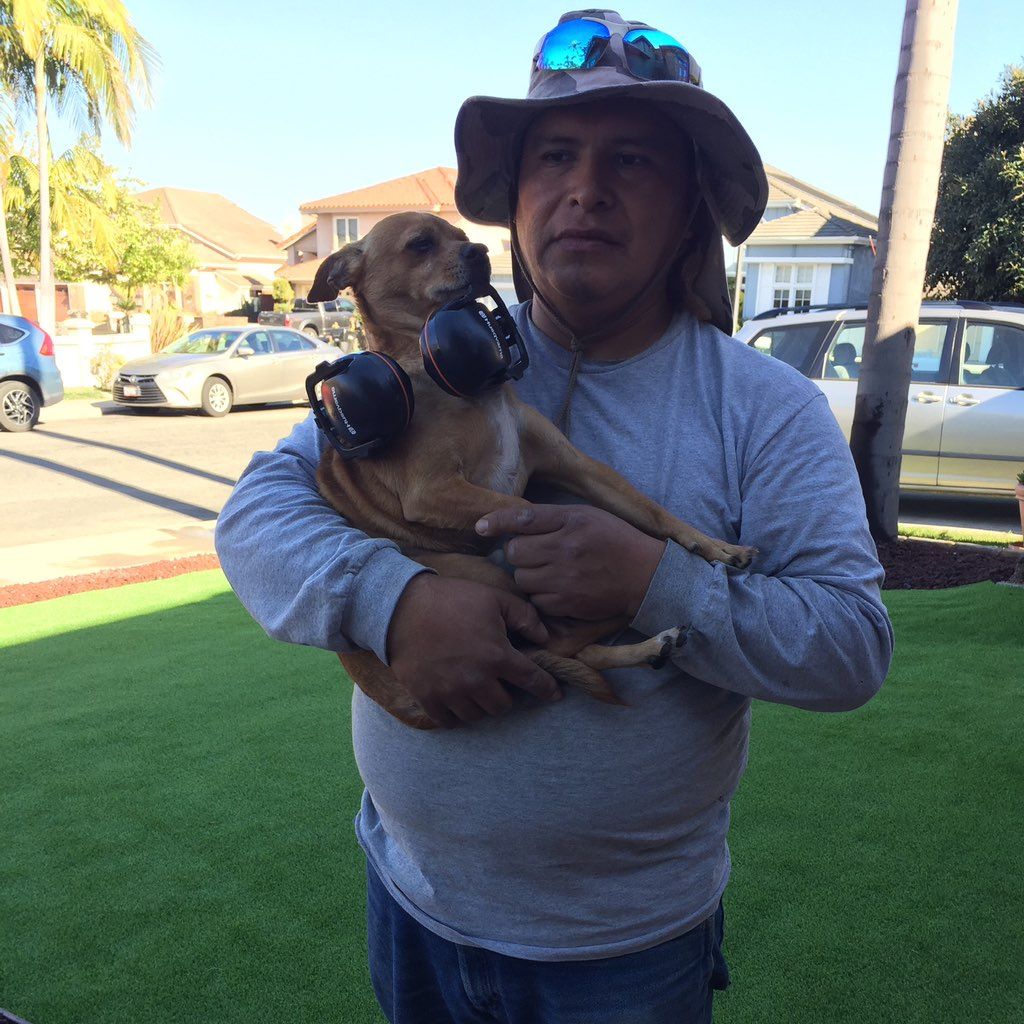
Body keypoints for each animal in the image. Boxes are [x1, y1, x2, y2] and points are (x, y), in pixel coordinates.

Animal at [306, 212, 754, 729]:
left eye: (464, 237)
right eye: (420, 245)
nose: (480, 251)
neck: (454, 381)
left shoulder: (573, 464)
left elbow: (653, 512)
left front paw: (715, 548)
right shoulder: (434, 490)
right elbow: (524, 509)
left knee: (575, 653)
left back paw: (648, 644)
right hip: (480, 576)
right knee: (554, 641)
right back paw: (622, 616)